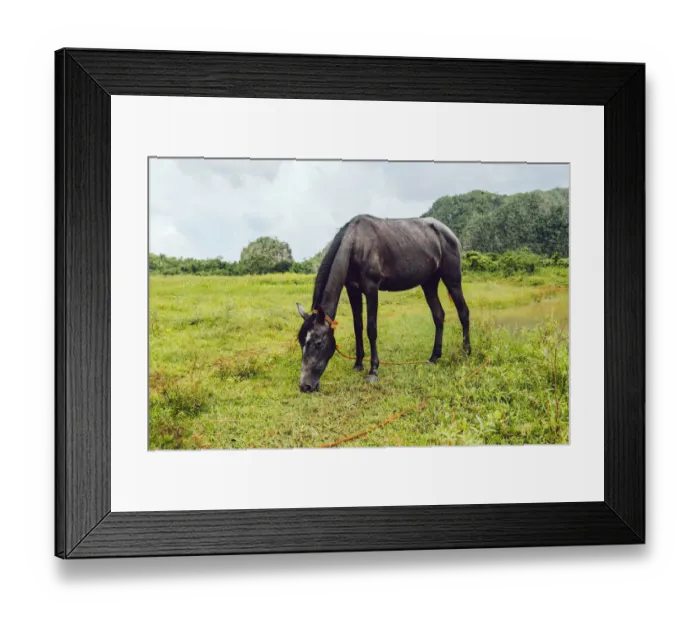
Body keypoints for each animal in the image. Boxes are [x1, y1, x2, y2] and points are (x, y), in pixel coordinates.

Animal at [296, 215, 471, 393]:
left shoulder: (371, 289)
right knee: (438, 315)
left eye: (318, 343)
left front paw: (373, 370)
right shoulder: (353, 290)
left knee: (463, 312)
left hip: (452, 280)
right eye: (301, 341)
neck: (355, 242)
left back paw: (466, 353)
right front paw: (358, 364)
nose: (305, 386)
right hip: (429, 283)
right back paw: (434, 357)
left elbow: (371, 329)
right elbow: (358, 326)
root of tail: (449, 234)